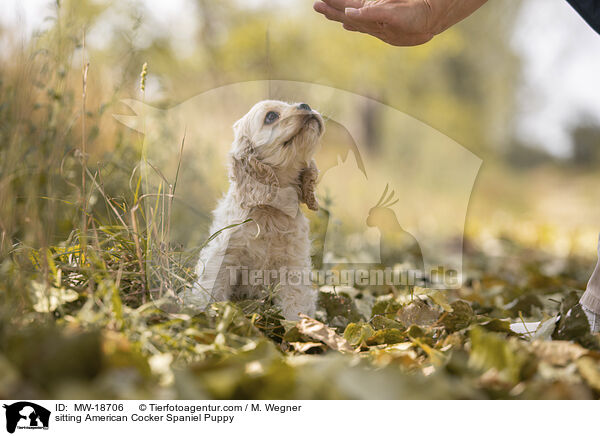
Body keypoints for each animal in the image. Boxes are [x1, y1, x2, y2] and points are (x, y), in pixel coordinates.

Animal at [188, 101, 326, 320]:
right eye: (271, 116)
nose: (305, 105)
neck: (270, 210)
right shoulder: (225, 256)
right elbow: (212, 288)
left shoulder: (293, 264)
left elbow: (295, 302)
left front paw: (298, 325)